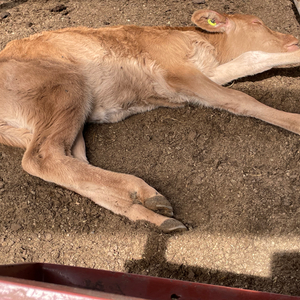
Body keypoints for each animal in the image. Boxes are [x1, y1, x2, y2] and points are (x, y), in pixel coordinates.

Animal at [0, 9, 300, 233]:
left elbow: (248, 63)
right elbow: (243, 89)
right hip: (65, 86)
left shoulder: (201, 77)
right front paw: (295, 120)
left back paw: (152, 214)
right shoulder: (178, 71)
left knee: (71, 164)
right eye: (257, 23)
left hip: (66, 119)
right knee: (42, 157)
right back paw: (140, 190)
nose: (294, 39)